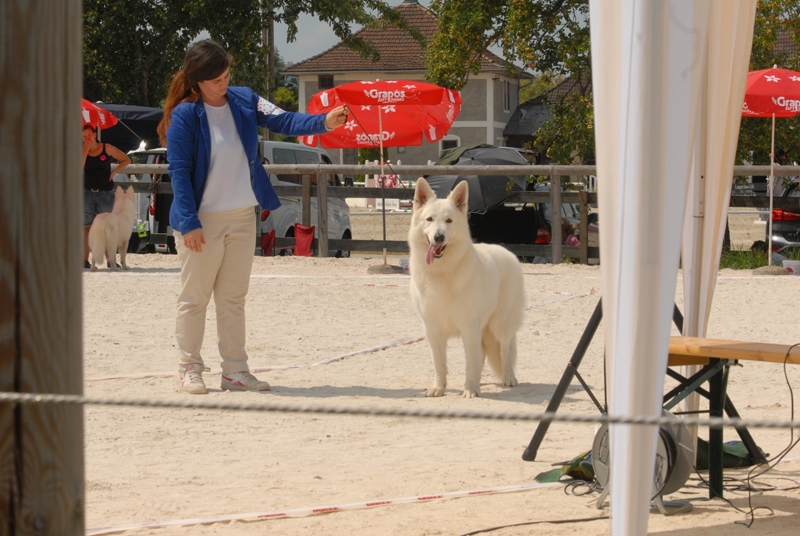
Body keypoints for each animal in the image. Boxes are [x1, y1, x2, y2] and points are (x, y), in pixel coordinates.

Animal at [406, 179, 524, 398]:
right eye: (429, 219)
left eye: (449, 221)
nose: (439, 237)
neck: (443, 272)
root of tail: (508, 252)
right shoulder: (433, 330)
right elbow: (439, 364)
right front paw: (439, 388)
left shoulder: (469, 327)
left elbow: (471, 362)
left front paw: (470, 389)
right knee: (483, 353)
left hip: (500, 324)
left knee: (504, 350)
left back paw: (508, 378)